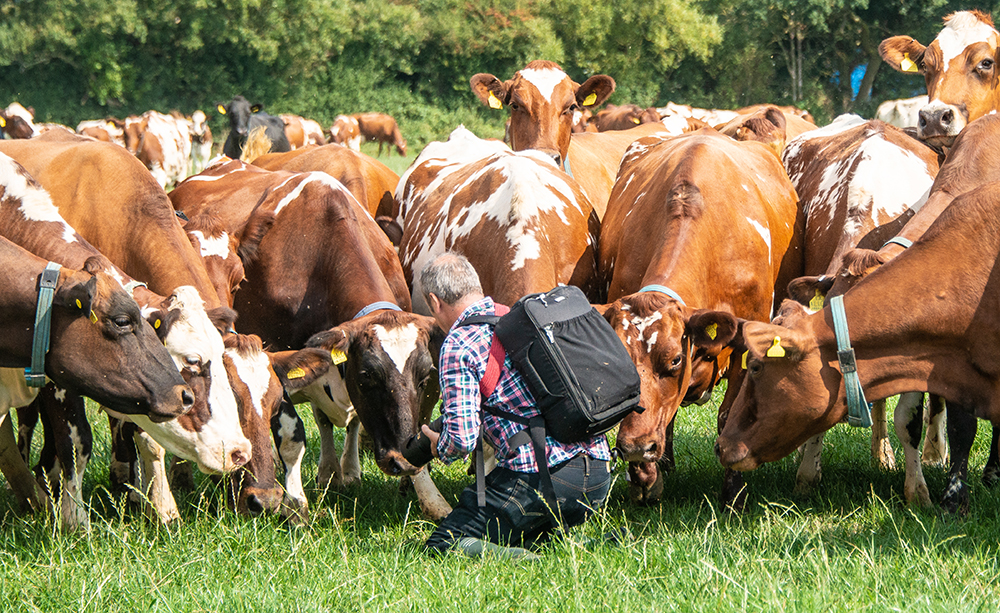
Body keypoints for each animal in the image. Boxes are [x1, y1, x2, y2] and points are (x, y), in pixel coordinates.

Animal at [173, 160, 454, 520]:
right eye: (368, 376)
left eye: (423, 377)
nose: (402, 459)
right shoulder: (276, 362)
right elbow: (294, 431)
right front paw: (298, 502)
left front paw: (428, 497)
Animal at [596, 128, 800, 502]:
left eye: (675, 359)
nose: (634, 447)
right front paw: (646, 478)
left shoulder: (748, 345)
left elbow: (728, 416)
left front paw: (733, 492)